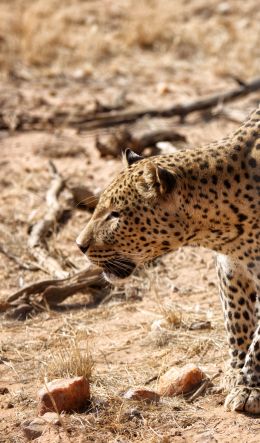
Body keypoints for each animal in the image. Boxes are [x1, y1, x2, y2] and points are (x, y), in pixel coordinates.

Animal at [76, 106, 258, 414]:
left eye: (115, 214)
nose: (80, 245)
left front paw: (250, 388)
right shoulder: (231, 266)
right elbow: (238, 321)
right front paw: (237, 374)